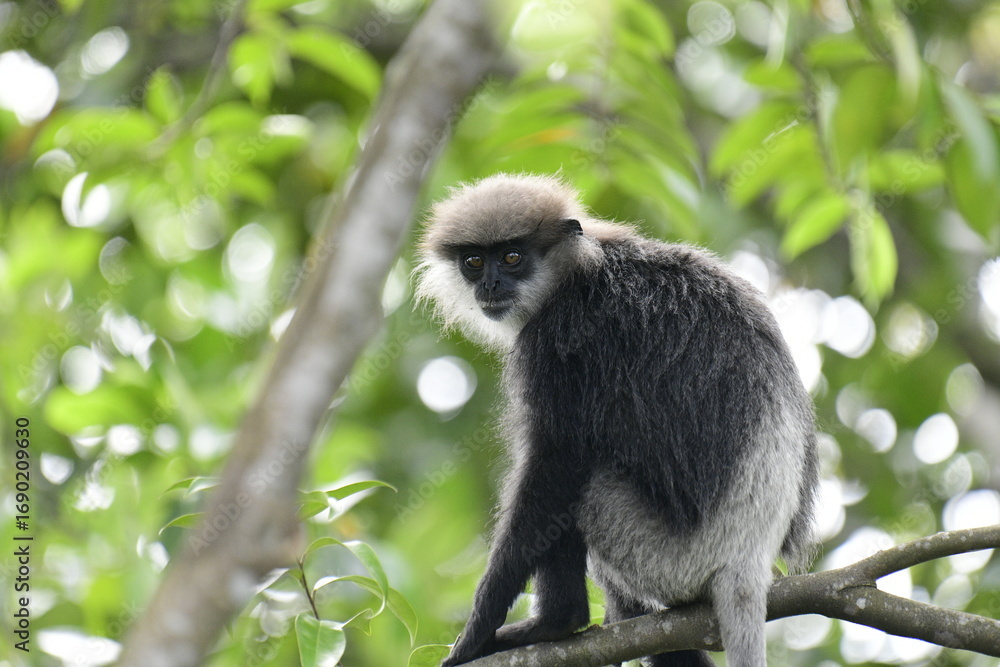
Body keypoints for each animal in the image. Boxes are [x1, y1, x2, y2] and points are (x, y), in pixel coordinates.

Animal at [415, 173, 818, 667]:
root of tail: (749, 561)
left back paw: (558, 621)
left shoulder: (558, 340)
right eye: (473, 261)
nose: (489, 284)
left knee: (582, 484)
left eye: (512, 257)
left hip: (667, 556)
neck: (583, 268)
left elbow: (555, 464)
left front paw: (476, 630)